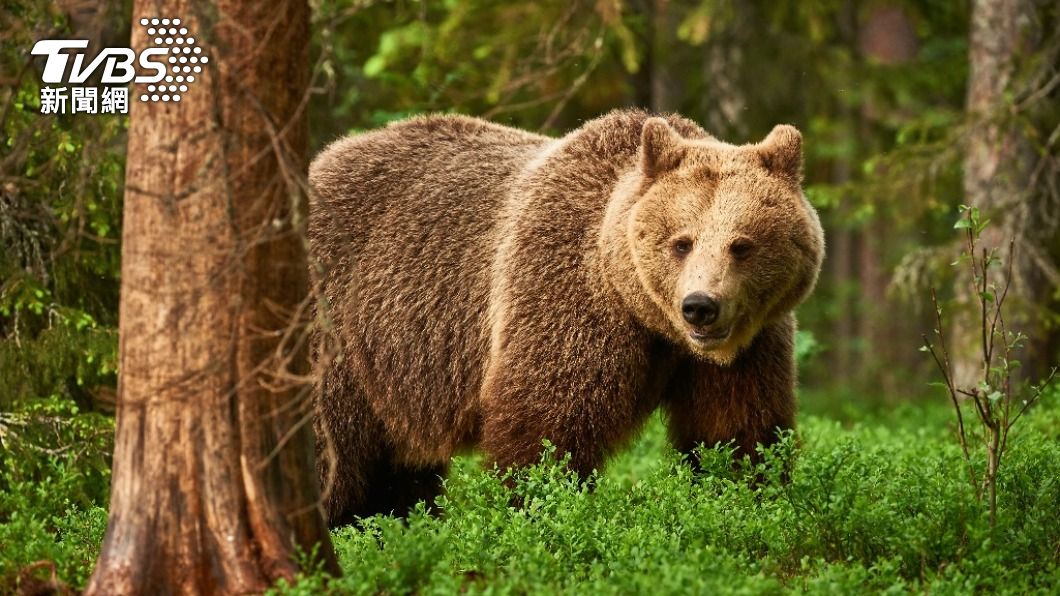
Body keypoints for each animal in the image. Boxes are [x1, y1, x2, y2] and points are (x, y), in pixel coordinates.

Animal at [308, 109, 824, 526]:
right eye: (681, 241)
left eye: (742, 245)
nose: (700, 305)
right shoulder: (564, 296)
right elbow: (547, 430)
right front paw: (538, 509)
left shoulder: (749, 347)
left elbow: (736, 431)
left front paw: (744, 498)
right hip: (340, 326)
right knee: (334, 454)